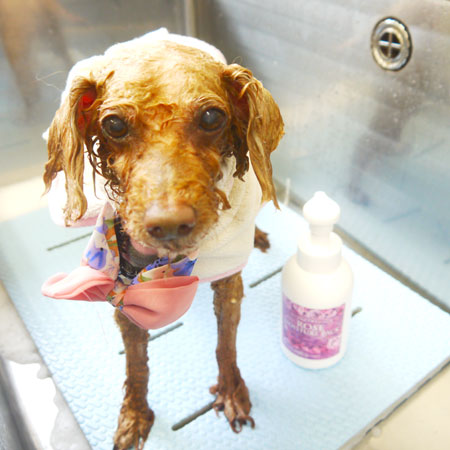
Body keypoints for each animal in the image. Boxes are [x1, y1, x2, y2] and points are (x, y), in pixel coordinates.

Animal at [42, 29, 284, 449]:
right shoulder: (125, 291)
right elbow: (136, 365)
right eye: (114, 124)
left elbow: (226, 343)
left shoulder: (228, 284)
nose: (168, 225)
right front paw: (135, 414)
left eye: (212, 117)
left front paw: (231, 390)